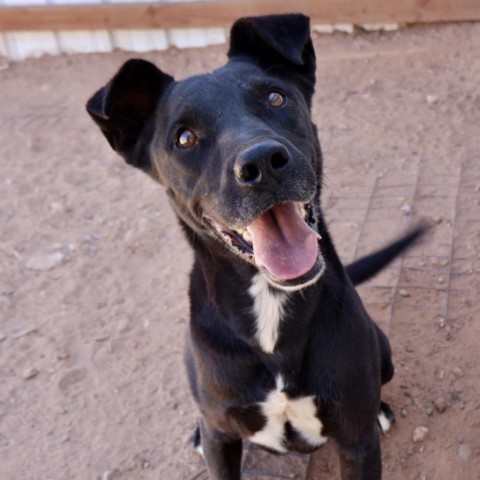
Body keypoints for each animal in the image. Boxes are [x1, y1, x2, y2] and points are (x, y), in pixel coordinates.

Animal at [86, 13, 424, 478]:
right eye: (184, 138)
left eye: (275, 98)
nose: (262, 162)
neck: (270, 303)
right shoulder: (221, 439)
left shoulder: (357, 442)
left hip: (383, 351)